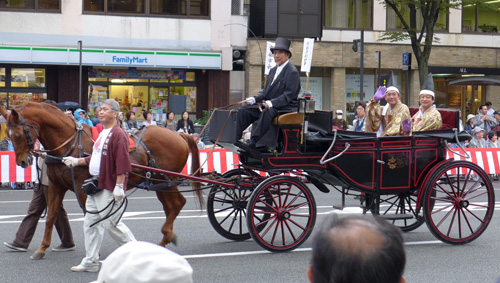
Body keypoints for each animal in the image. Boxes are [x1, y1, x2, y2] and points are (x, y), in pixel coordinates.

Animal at [0, 103, 203, 260]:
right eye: (8, 135)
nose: (22, 162)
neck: (69, 144)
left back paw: (164, 238)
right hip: (159, 182)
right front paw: (41, 248)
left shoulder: (83, 187)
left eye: (18, 135)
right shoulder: (56, 186)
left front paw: (94, 252)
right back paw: (164, 239)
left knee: (177, 203)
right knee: (173, 205)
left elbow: (88, 216)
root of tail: (179, 135)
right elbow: (51, 217)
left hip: (166, 179)